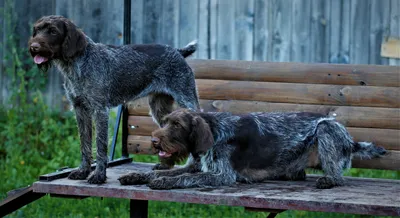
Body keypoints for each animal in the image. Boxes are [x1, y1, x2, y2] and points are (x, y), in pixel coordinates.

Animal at [28, 14, 200, 184]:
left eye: (53, 31)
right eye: (37, 30)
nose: (33, 47)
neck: (77, 64)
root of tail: (177, 51)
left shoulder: (100, 110)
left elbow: (100, 145)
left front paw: (98, 175)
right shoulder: (80, 109)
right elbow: (85, 143)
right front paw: (83, 171)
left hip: (186, 98)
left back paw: (195, 166)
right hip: (159, 108)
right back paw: (166, 166)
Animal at [117, 109, 386, 189]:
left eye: (177, 125)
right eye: (164, 122)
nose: (154, 142)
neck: (215, 130)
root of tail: (351, 142)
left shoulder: (222, 175)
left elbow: (181, 177)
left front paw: (163, 182)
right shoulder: (197, 166)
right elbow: (167, 171)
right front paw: (136, 175)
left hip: (326, 128)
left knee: (338, 176)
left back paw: (328, 180)